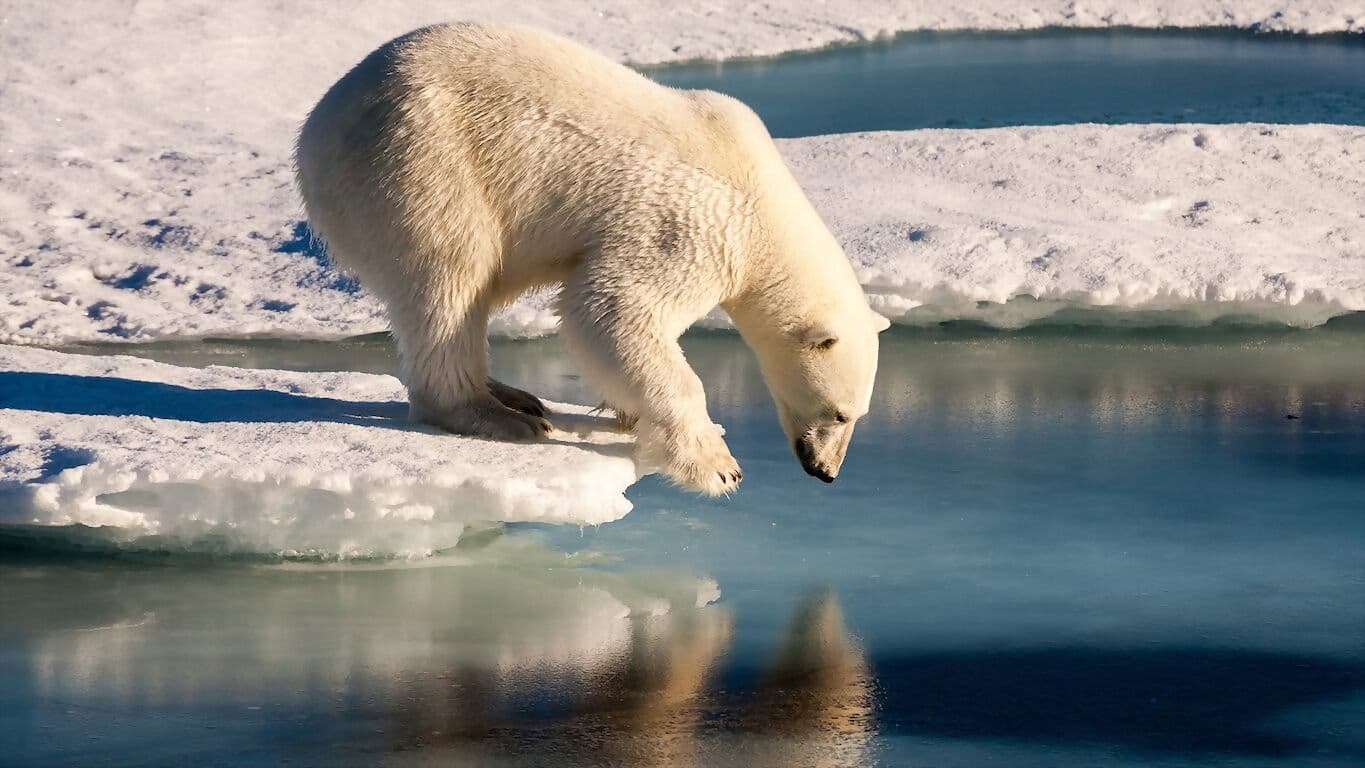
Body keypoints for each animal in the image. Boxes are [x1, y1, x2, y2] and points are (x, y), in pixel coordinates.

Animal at [295, 23, 889, 495]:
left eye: (858, 414)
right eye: (838, 412)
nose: (825, 471)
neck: (762, 197)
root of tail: (316, 129)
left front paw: (626, 410)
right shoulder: (693, 223)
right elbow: (609, 307)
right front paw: (718, 465)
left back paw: (514, 395)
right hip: (422, 163)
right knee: (451, 277)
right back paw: (497, 415)